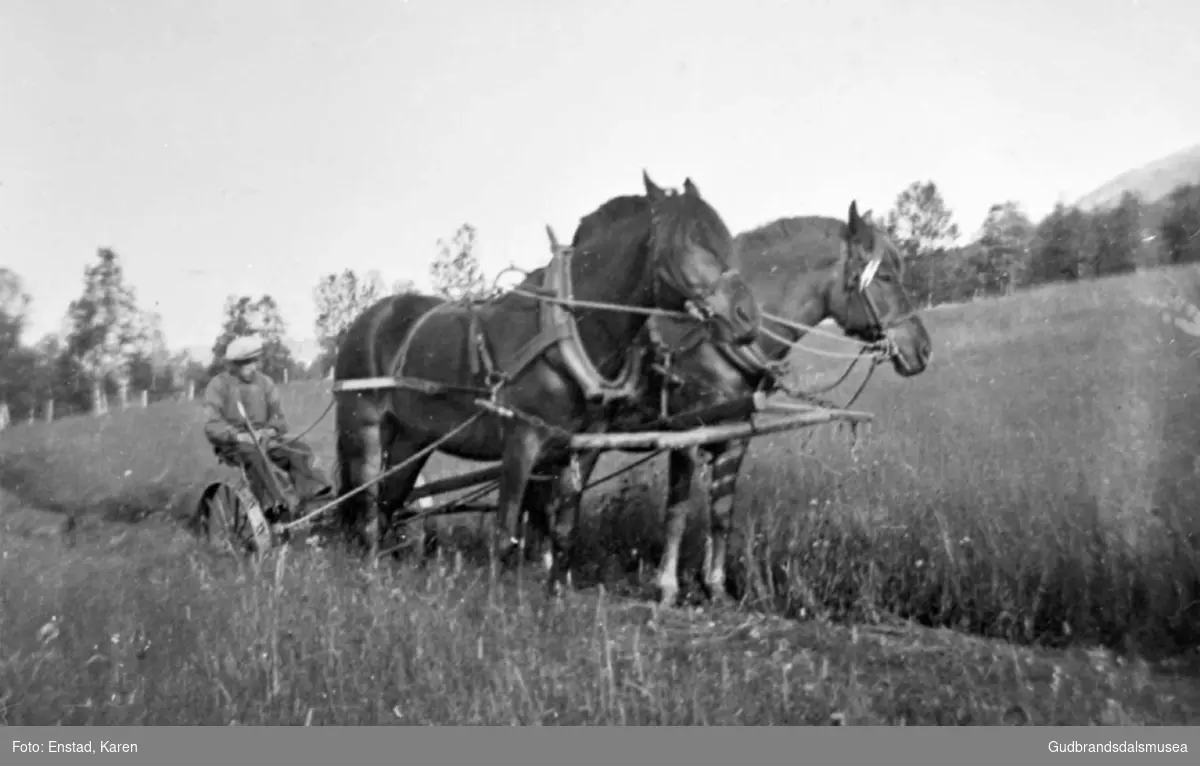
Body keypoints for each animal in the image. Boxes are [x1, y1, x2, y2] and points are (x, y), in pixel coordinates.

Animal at [331, 170, 758, 561]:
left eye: (723, 239)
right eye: (689, 242)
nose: (747, 317)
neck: (571, 328)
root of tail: (366, 321)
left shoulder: (576, 447)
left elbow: (558, 534)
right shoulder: (522, 438)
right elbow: (505, 536)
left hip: (412, 439)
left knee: (387, 505)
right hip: (363, 427)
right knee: (367, 511)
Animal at [530, 201, 931, 609]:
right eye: (884, 277)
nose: (922, 349)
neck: (719, 338)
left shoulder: (736, 435)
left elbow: (721, 513)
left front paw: (716, 587)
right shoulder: (687, 433)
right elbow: (677, 513)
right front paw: (667, 587)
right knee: (559, 496)